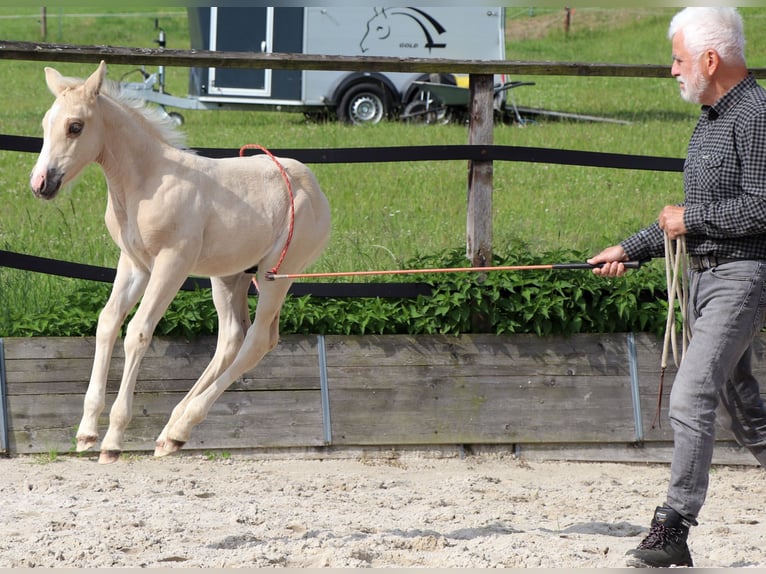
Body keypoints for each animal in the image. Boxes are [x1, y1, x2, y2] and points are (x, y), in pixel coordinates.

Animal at [30, 63, 332, 466]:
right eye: (46, 123)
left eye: (75, 126)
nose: (41, 184)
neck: (145, 182)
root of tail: (314, 187)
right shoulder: (134, 264)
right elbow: (107, 323)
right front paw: (86, 432)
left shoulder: (171, 263)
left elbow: (138, 331)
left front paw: (113, 439)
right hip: (229, 276)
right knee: (231, 338)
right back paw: (171, 432)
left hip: (276, 275)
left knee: (257, 340)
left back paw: (180, 427)